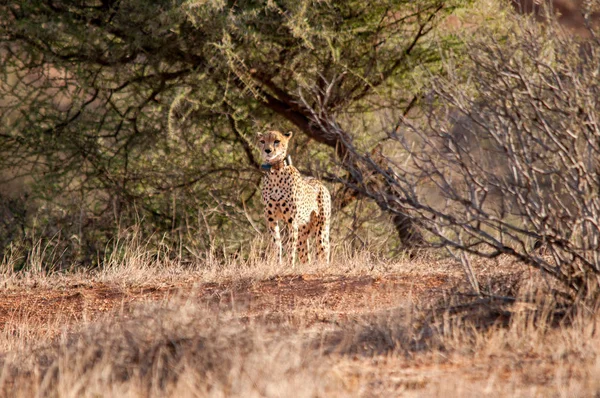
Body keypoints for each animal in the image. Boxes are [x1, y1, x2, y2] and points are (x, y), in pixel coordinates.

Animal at [256, 131, 332, 266]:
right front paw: (278, 264)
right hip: (303, 233)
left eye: (276, 141)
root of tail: (321, 184)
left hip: (321, 230)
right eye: (262, 141)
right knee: (305, 257)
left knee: (324, 251)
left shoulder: (291, 221)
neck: (275, 171)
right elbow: (276, 244)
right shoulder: (271, 219)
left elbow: (290, 247)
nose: (267, 150)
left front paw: (289, 266)